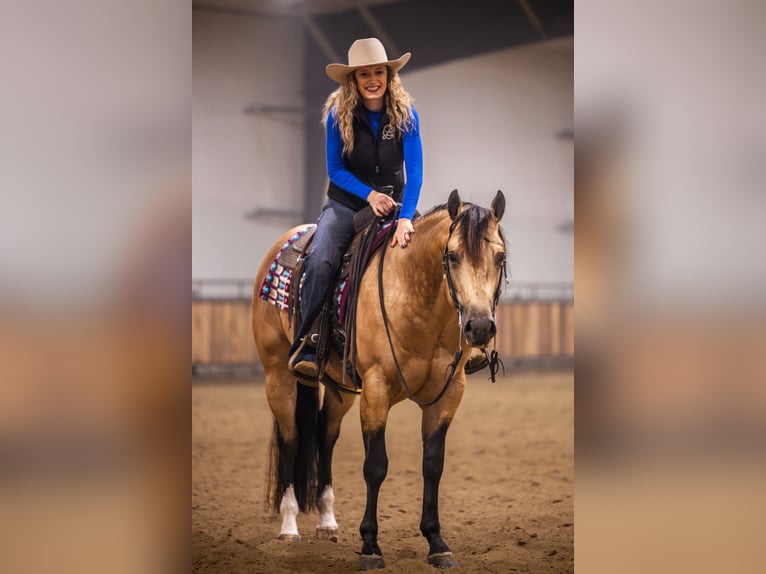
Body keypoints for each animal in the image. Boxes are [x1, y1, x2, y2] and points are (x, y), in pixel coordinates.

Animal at [251, 189, 507, 569]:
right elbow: (375, 465)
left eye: (500, 256)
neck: (416, 298)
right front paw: (370, 546)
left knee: (325, 435)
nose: (479, 327)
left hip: (341, 388)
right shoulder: (376, 389)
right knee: (291, 438)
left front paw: (437, 542)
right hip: (278, 376)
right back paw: (289, 525)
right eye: (453, 255)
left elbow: (433, 465)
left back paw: (327, 522)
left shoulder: (449, 394)